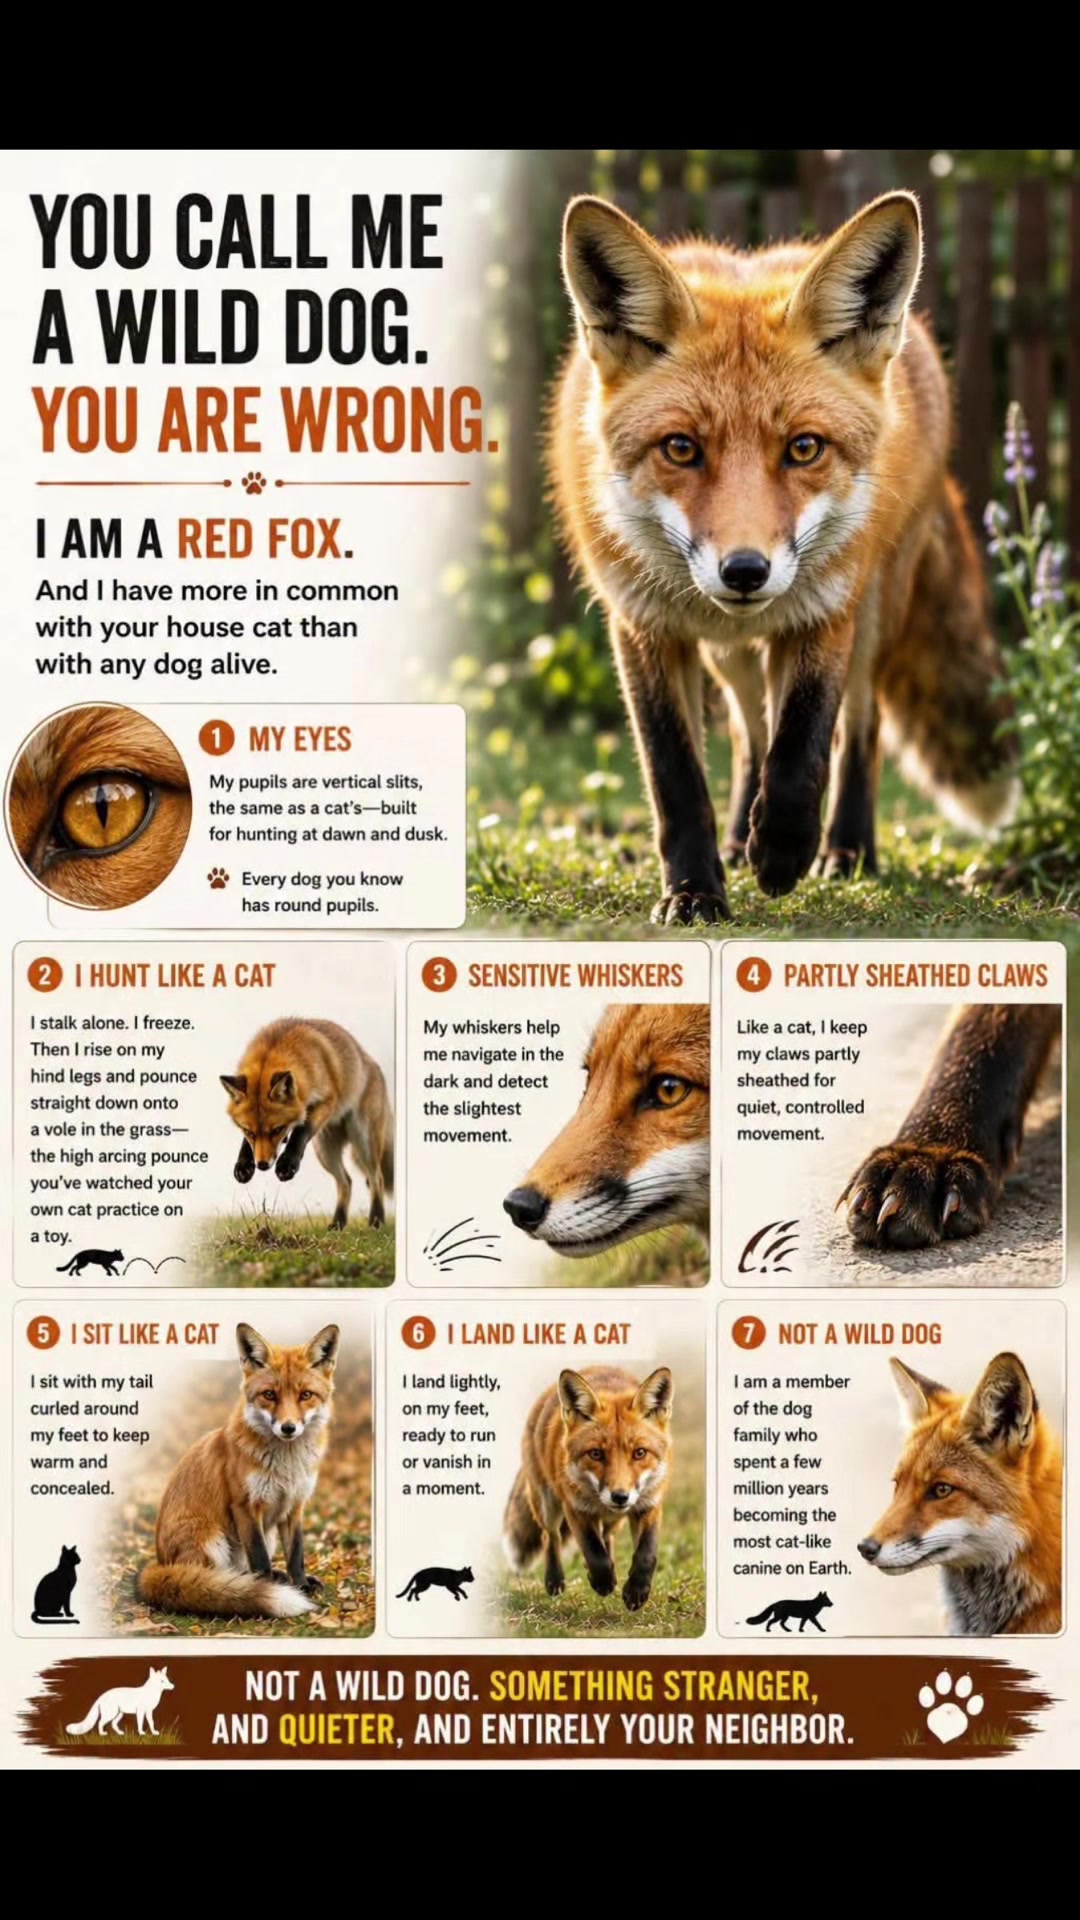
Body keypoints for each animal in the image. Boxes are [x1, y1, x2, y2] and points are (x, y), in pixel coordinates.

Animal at [138, 1322, 339, 1620]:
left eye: (306, 1395)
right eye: (269, 1395)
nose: (288, 1428)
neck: (287, 1466)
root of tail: (160, 1564)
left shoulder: (294, 1505)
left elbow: (296, 1554)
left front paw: (300, 1585)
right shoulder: (245, 1505)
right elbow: (260, 1559)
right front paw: (268, 1591)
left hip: (265, 1535)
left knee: (240, 1573)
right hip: (211, 1538)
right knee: (217, 1579)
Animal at [222, 1017, 393, 1230]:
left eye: (277, 1130)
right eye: (249, 1132)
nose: (262, 1165)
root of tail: (373, 1063)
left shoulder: (326, 1101)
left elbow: (301, 1131)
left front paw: (287, 1162)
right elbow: (247, 1144)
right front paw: (244, 1164)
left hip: (363, 1140)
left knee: (377, 1178)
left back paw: (377, 1220)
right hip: (325, 1151)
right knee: (346, 1182)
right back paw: (338, 1222)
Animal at [503, 1364, 674, 1611]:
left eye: (640, 1453)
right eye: (596, 1454)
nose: (620, 1497)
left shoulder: (649, 1503)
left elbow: (647, 1553)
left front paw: (636, 1591)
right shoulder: (575, 1507)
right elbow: (593, 1550)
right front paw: (602, 1582)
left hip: (615, 1519)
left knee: (607, 1536)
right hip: (546, 1503)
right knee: (550, 1536)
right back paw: (555, 1579)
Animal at [550, 192, 1015, 923]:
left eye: (804, 448)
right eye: (680, 448)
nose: (746, 571)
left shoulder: (827, 609)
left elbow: (802, 749)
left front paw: (784, 852)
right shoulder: (642, 624)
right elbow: (676, 775)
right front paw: (695, 890)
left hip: (875, 613)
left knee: (860, 731)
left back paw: (846, 850)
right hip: (730, 653)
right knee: (748, 734)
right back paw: (740, 838)